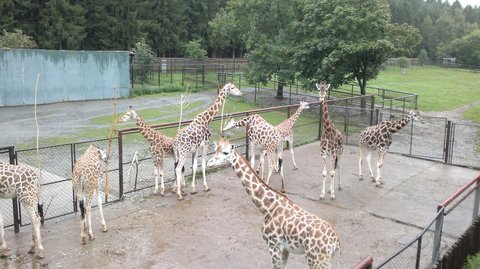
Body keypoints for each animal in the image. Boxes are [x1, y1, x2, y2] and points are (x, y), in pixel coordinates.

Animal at [208, 137, 340, 268]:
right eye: (215, 150)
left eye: (225, 152)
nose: (209, 163)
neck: (267, 206)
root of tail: (336, 243)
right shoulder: (285, 249)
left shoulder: (273, 245)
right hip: (325, 261)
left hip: (316, 260)